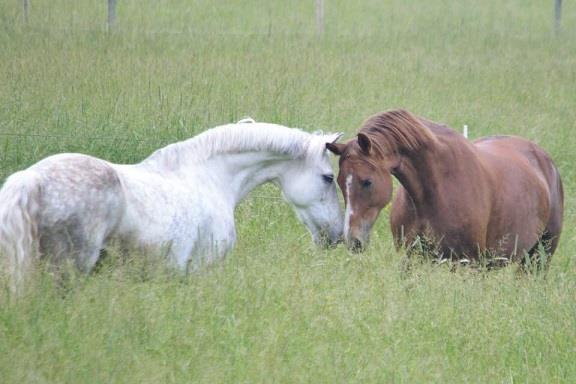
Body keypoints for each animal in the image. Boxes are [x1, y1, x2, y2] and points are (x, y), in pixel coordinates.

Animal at [326, 109, 564, 268]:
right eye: (338, 181)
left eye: (367, 181)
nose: (352, 240)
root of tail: (545, 160)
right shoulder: (412, 259)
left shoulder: (468, 264)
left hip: (539, 257)